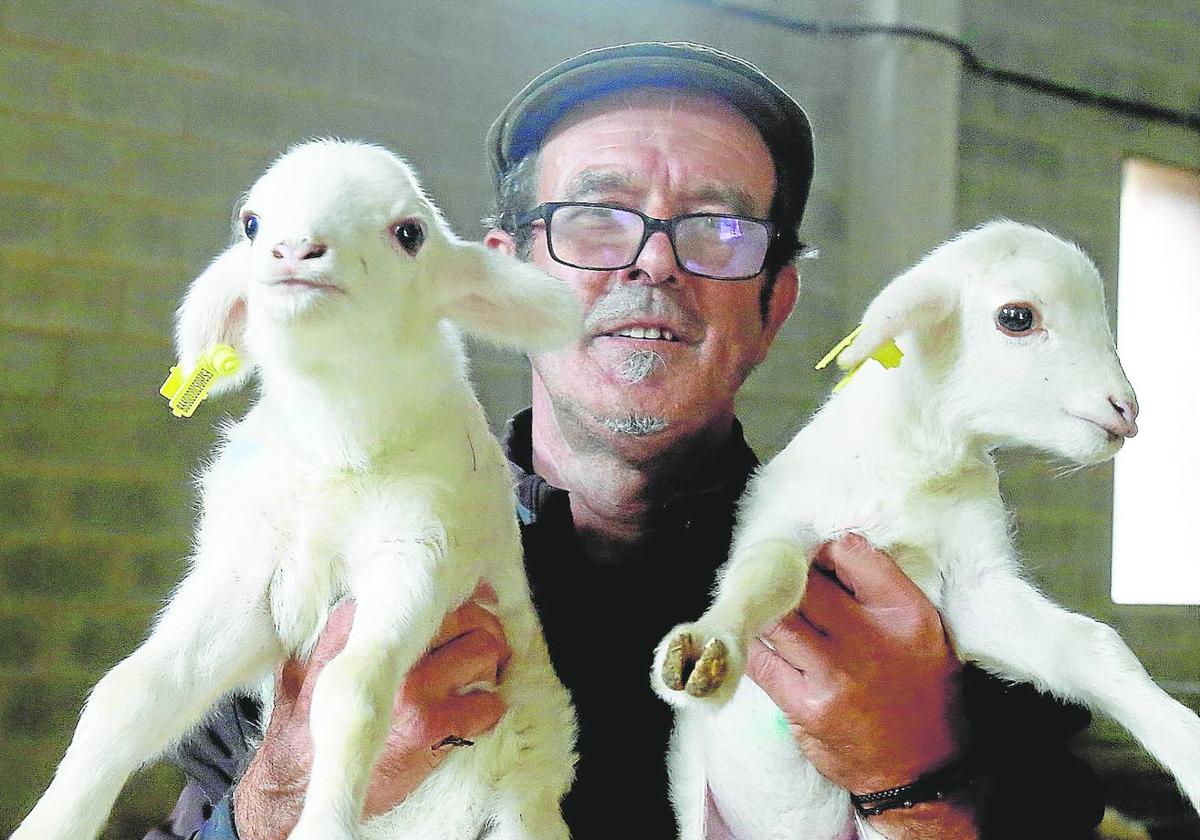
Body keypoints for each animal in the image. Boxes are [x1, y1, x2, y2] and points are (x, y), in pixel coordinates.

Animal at [11, 138, 583, 840]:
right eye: (252, 223)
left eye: (410, 233)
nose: (293, 249)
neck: (333, 458)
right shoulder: (251, 582)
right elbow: (133, 690)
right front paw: (51, 821)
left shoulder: (419, 552)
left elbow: (350, 694)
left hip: (525, 794)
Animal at [657, 222, 1200, 840]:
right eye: (1017, 317)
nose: (1126, 410)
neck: (915, 469)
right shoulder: (787, 522)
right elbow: (765, 574)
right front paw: (710, 648)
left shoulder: (967, 593)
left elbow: (1092, 645)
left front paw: (1188, 747)